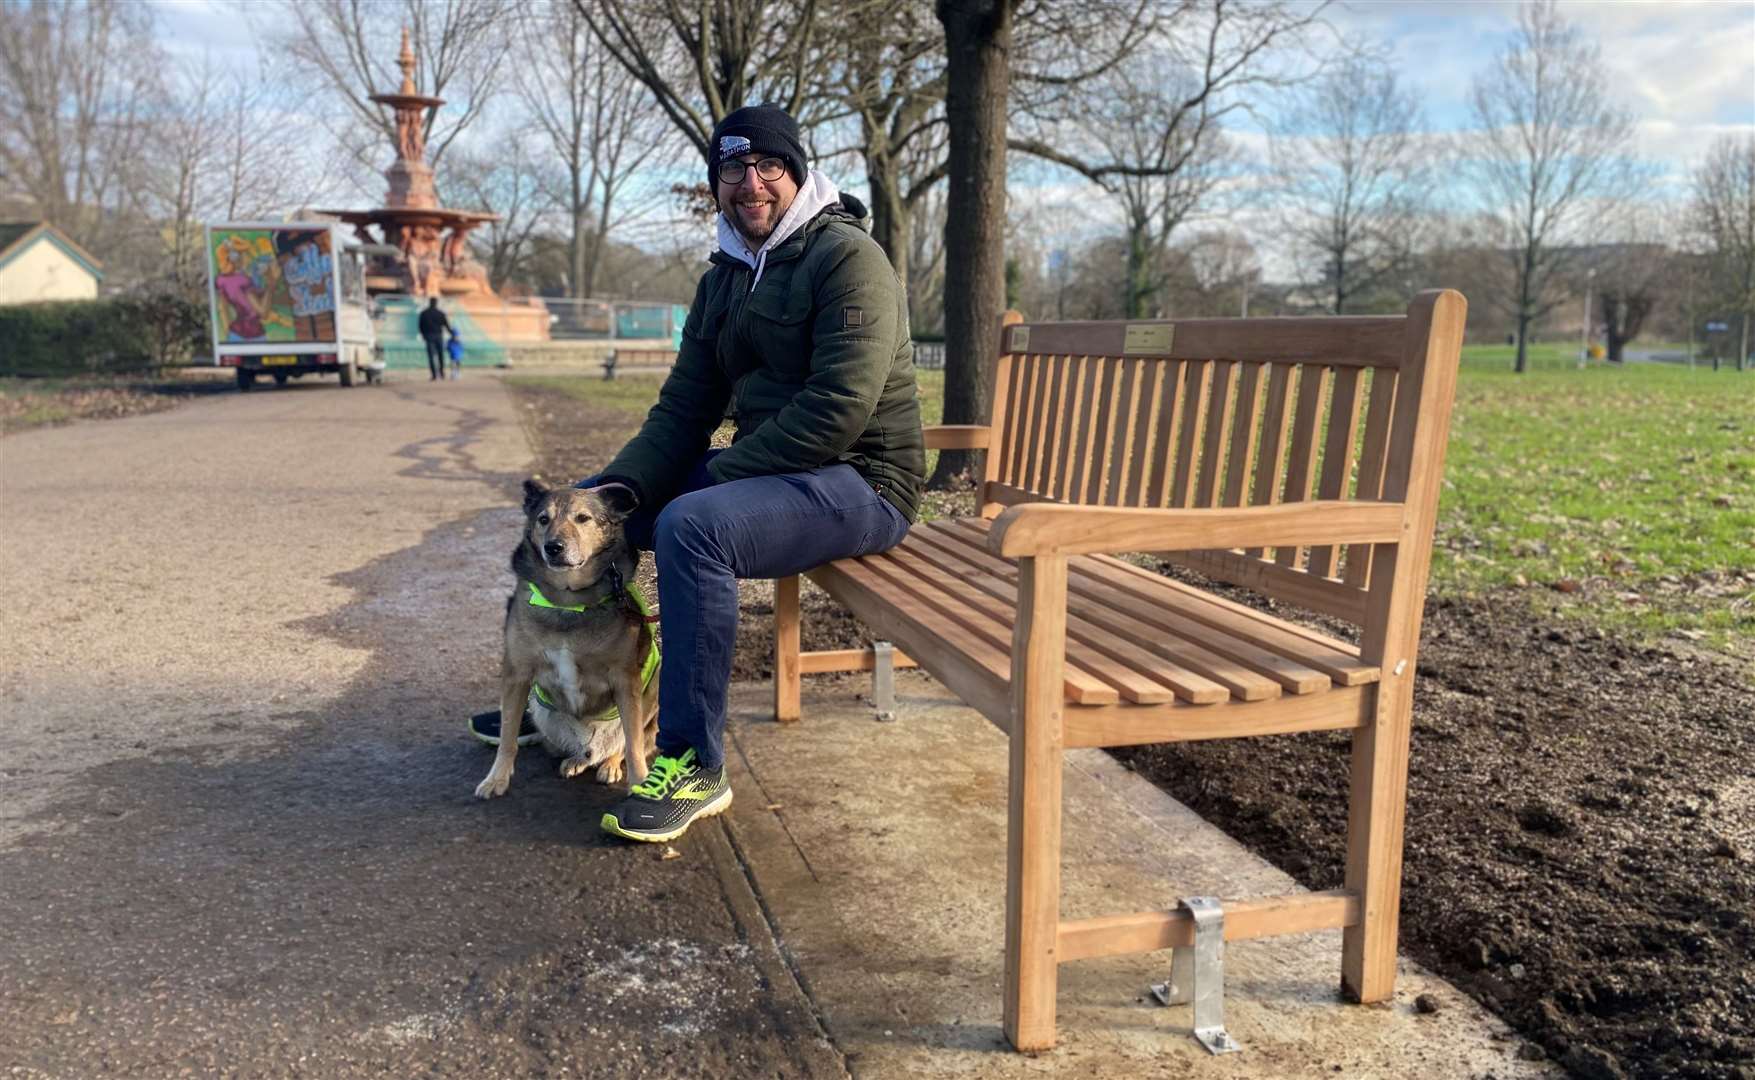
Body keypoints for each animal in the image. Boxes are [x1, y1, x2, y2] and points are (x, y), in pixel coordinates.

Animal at [473, 477, 659, 797]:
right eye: (543, 519)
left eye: (583, 518)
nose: (554, 548)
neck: (568, 600)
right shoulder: (516, 675)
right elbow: (508, 734)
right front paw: (496, 779)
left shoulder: (625, 680)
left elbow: (632, 744)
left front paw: (639, 784)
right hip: (540, 710)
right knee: (582, 751)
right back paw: (576, 760)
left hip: (650, 701)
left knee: (622, 744)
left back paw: (610, 763)